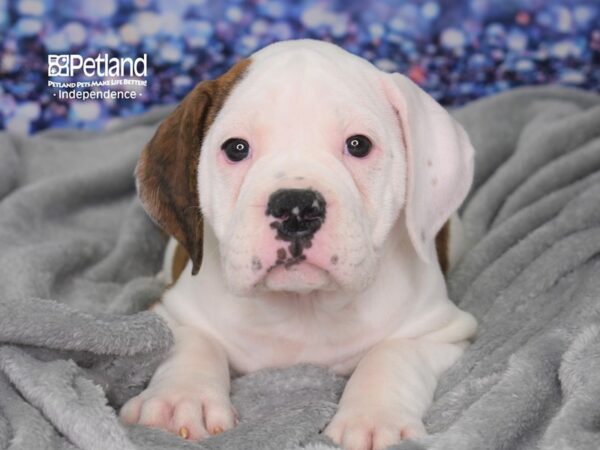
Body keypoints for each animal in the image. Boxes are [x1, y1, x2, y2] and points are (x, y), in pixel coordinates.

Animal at [120, 39, 478, 450]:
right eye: (236, 148)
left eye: (358, 145)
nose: (295, 208)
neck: (303, 307)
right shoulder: (171, 313)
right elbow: (193, 342)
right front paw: (180, 399)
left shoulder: (443, 333)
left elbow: (394, 353)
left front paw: (373, 417)